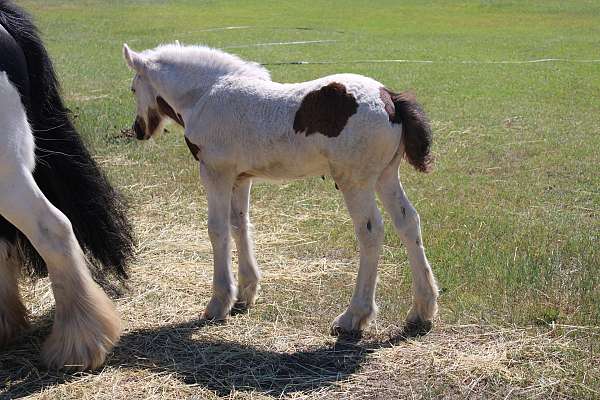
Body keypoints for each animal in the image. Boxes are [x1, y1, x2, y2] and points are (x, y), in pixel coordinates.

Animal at [123, 43, 440, 334]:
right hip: (386, 176)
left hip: (355, 181)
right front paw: (246, 293)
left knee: (371, 232)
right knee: (408, 222)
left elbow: (217, 230)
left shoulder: (215, 172)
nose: (138, 130)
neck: (205, 94)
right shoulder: (241, 177)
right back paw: (421, 309)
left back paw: (353, 317)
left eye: (133, 89)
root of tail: (390, 98)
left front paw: (219, 302)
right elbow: (239, 224)